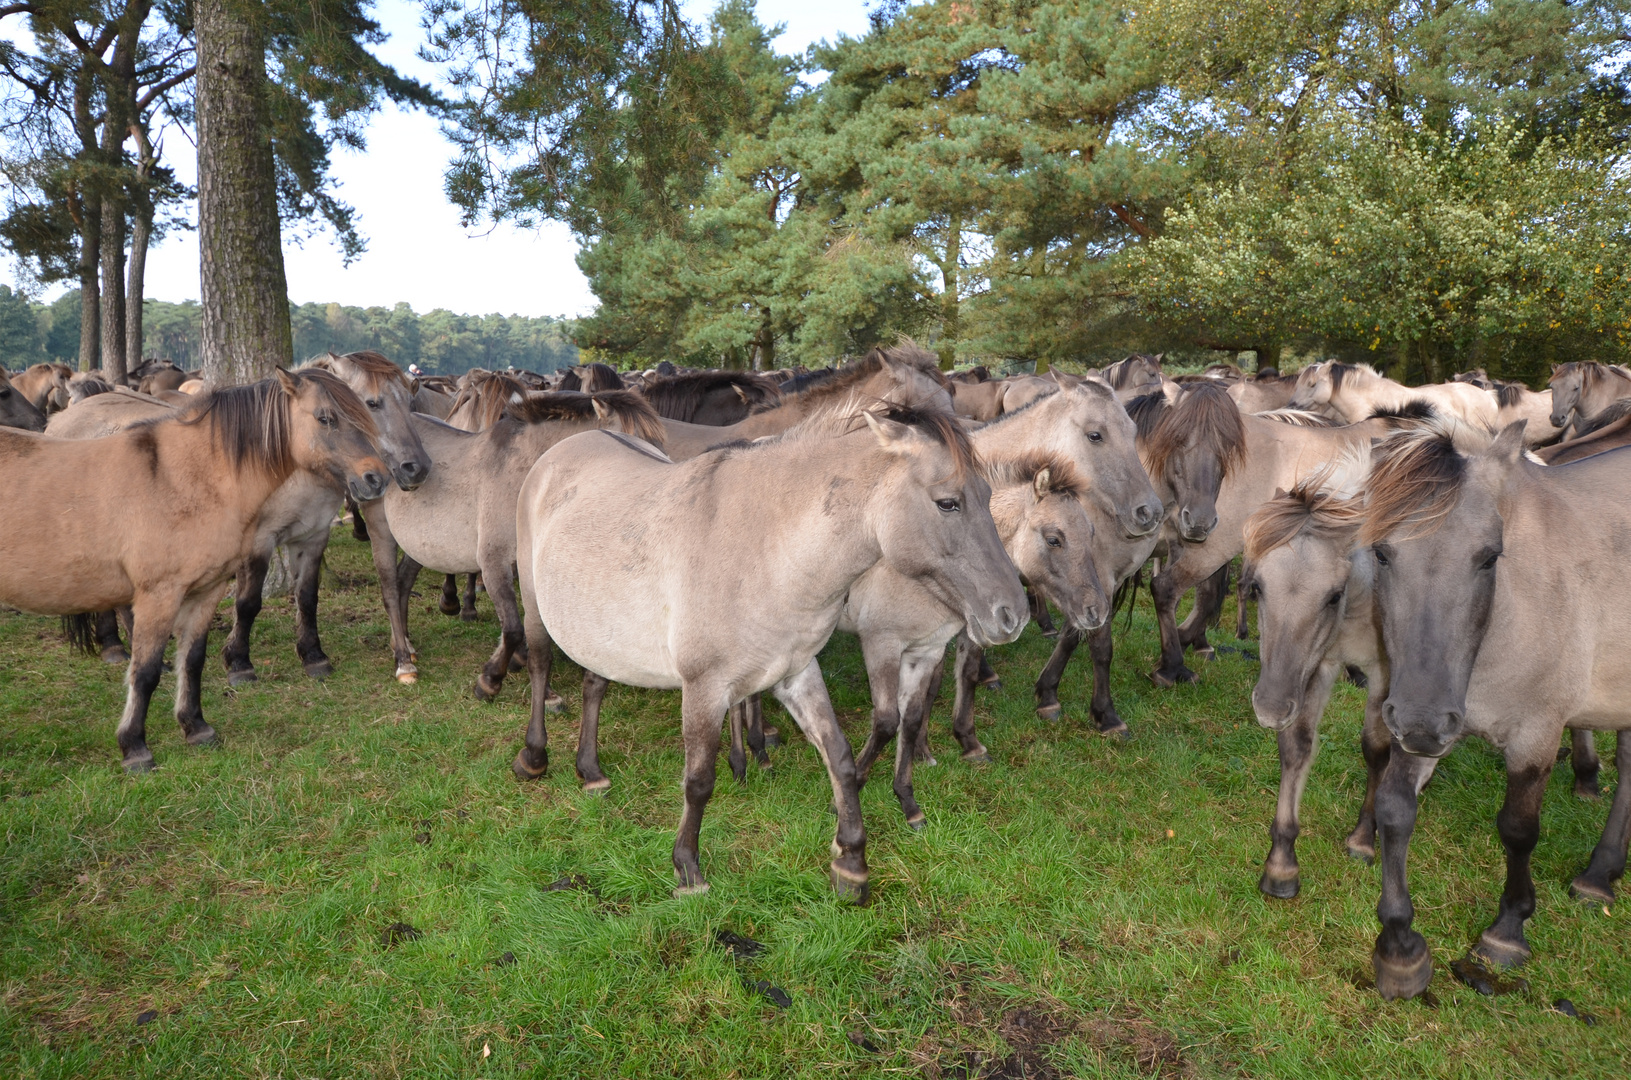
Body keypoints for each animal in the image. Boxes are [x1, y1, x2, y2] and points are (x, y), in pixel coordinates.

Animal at [0, 370, 384, 770]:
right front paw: (134, 747)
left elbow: (193, 660)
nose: (376, 478)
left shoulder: (205, 592)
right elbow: (146, 672)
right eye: (326, 418)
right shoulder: (159, 596)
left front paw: (196, 727)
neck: (183, 479)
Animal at [508, 401, 1024, 900]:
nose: (1012, 614)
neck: (765, 549)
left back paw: (590, 770)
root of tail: (565, 447)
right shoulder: (705, 688)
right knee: (539, 665)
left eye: (990, 496)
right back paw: (533, 757)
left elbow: (839, 756)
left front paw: (850, 862)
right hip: (536, 610)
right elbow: (699, 780)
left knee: (595, 681)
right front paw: (688, 868)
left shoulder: (796, 672)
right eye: (948, 502)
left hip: (601, 631)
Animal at [1363, 420, 1631, 998]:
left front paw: (1507, 930)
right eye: (1382, 554)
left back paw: (1597, 876)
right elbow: (1394, 810)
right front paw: (1399, 948)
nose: (1420, 720)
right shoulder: (1424, 725)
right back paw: (1603, 872)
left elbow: (1518, 828)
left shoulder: (1536, 735)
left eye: (1489, 556)